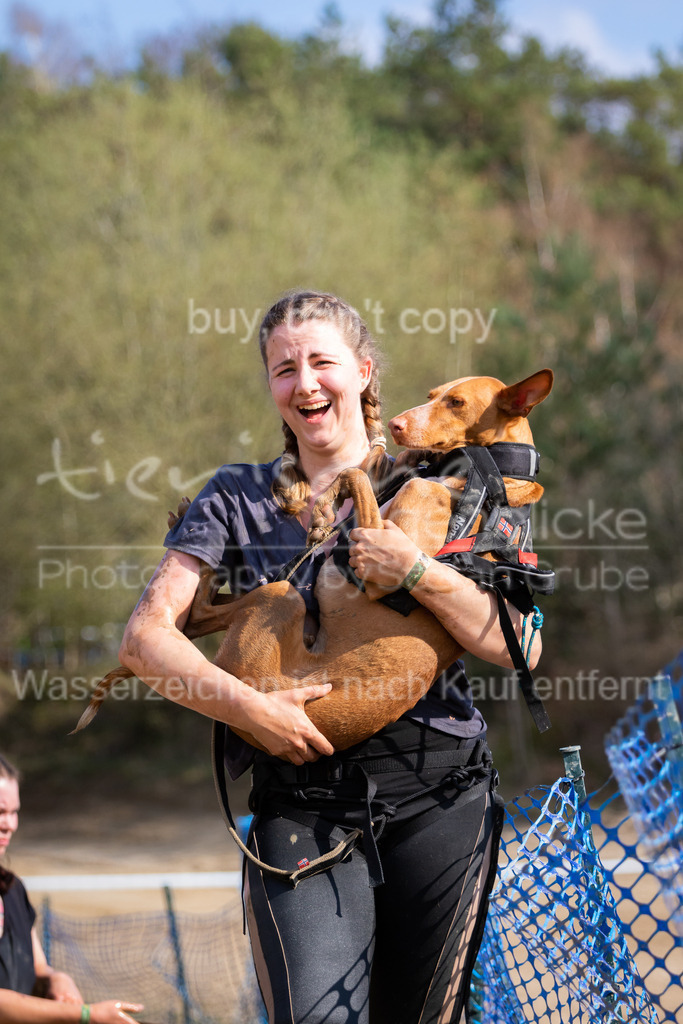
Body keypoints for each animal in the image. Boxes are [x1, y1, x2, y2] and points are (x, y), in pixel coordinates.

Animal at [74, 372, 552, 749]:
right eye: (433, 394)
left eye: (456, 402)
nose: (396, 424)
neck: (489, 478)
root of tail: (246, 718)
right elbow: (364, 469)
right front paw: (346, 493)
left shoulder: (380, 565)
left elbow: (354, 473)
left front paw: (325, 511)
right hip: (278, 599)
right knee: (197, 617)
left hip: (280, 597)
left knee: (201, 614)